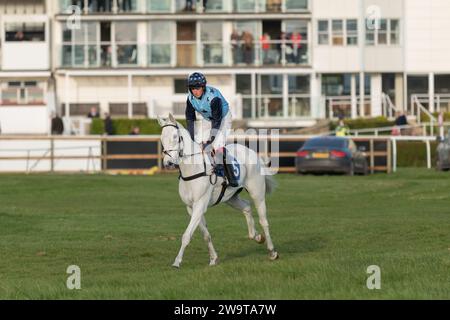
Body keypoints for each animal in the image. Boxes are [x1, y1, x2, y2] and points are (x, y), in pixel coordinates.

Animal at [158, 113, 278, 268]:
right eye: (162, 138)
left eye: (175, 137)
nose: (168, 163)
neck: (193, 169)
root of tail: (253, 153)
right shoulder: (191, 207)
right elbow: (206, 235)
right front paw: (213, 258)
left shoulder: (200, 204)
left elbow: (186, 235)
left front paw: (177, 261)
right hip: (230, 197)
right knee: (246, 207)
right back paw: (256, 236)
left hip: (257, 193)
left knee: (264, 221)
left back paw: (272, 251)